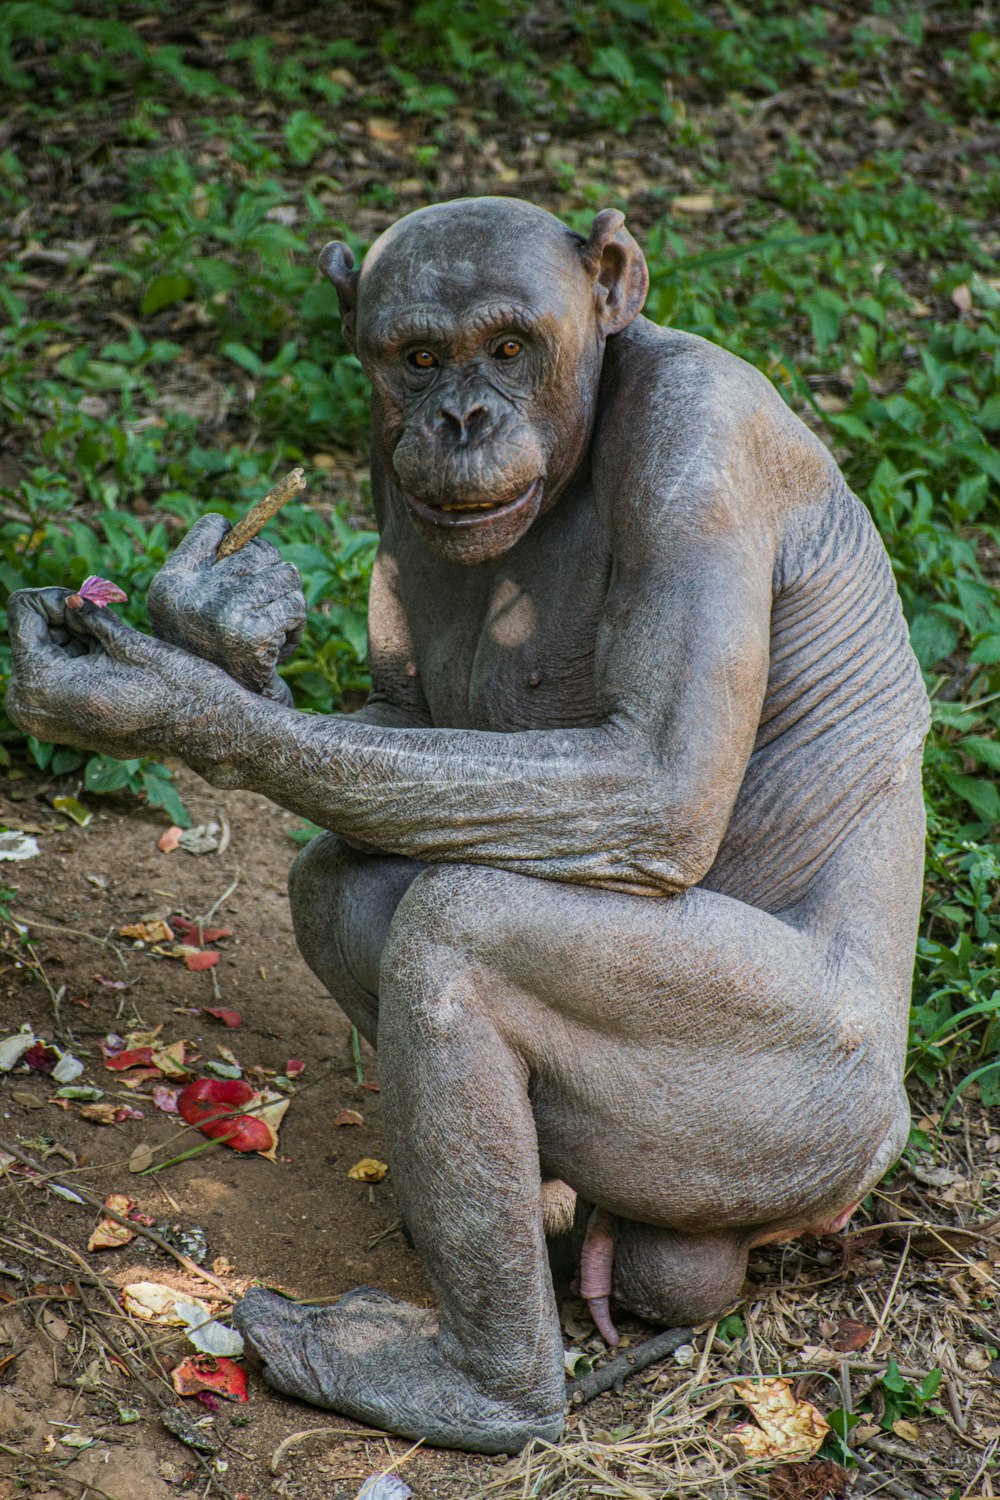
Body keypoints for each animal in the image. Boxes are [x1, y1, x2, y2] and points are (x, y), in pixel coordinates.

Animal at [7, 199, 929, 1452]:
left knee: (463, 932)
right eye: (416, 357)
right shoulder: (382, 464)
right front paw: (222, 619)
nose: (460, 417)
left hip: (802, 1108)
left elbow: (653, 776)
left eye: (506, 346)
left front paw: (164, 689)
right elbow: (405, 723)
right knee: (347, 881)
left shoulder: (704, 447)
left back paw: (481, 1390)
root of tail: (870, 1158)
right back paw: (552, 1238)